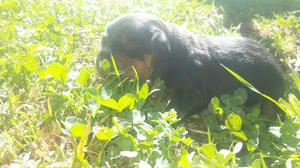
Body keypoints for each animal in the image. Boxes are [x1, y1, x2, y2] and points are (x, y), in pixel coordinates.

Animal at [95, 13, 284, 117]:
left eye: (129, 47)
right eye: (103, 40)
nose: (101, 58)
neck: (174, 54)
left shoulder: (195, 90)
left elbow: (178, 107)